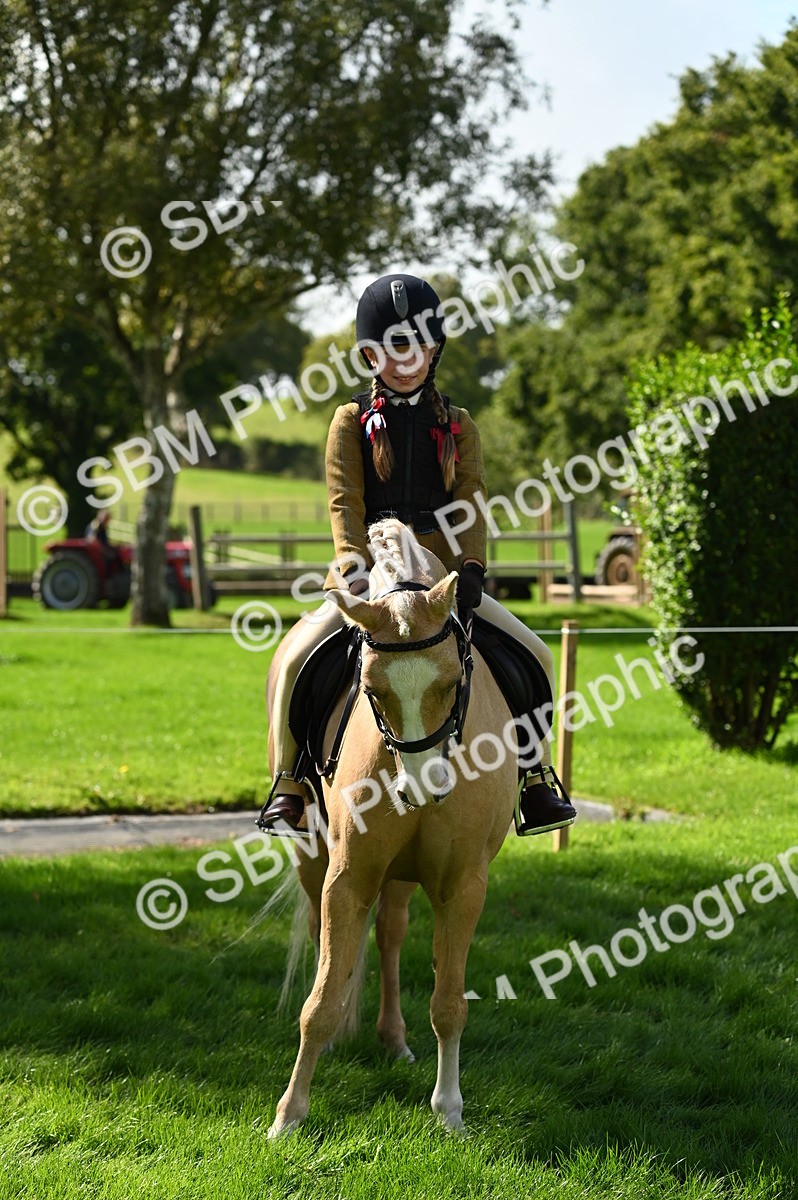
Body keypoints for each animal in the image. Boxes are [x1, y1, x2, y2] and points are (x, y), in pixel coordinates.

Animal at [264, 519, 518, 1136]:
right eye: (371, 689)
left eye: (452, 681)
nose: (423, 787)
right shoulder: (348, 875)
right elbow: (320, 999)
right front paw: (289, 1116)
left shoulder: (463, 885)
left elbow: (449, 1004)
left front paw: (449, 1111)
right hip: (312, 856)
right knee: (325, 938)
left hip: (402, 875)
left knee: (391, 933)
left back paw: (395, 1039)